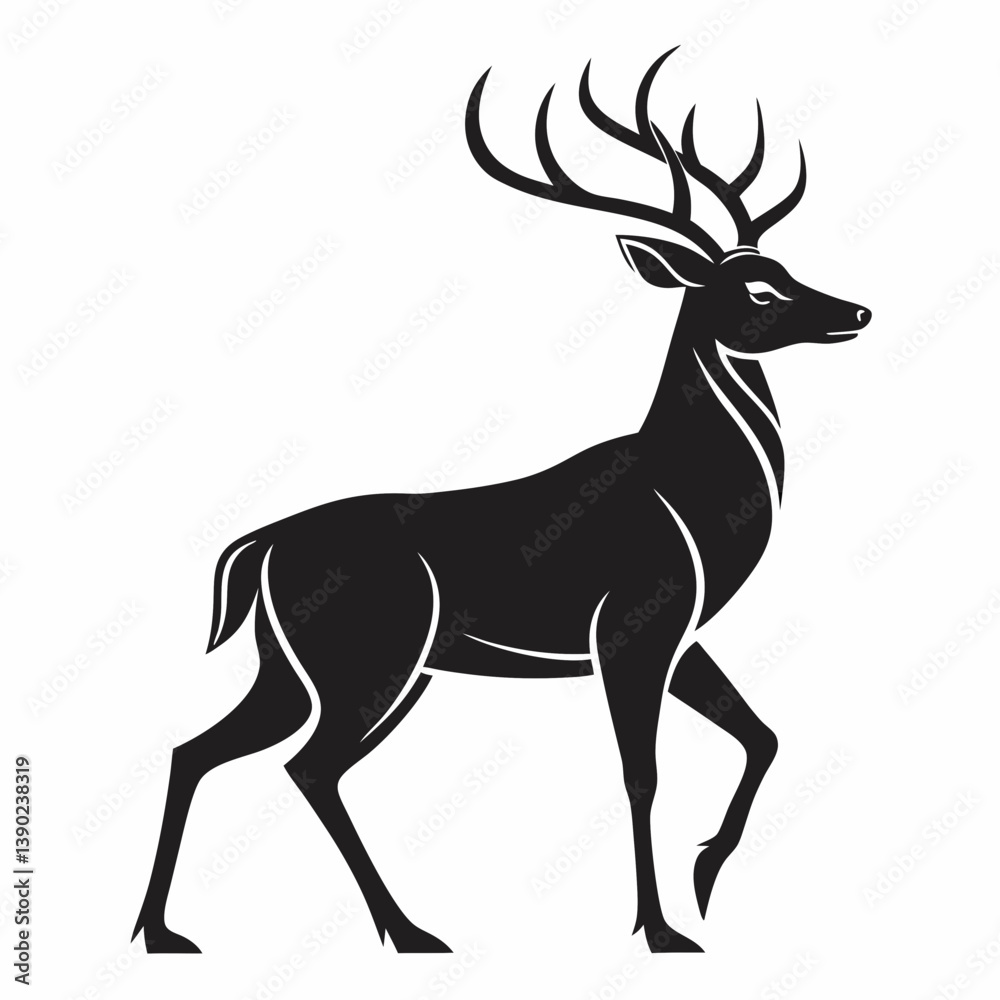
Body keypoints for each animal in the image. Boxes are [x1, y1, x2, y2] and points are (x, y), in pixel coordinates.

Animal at [132, 48, 870, 957]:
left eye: (786, 269)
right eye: (757, 292)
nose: (856, 310)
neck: (688, 495)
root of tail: (261, 545)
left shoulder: (682, 635)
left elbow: (762, 735)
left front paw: (705, 875)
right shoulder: (632, 625)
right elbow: (640, 771)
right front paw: (660, 928)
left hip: (304, 668)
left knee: (200, 750)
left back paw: (165, 931)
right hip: (371, 659)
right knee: (305, 764)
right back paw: (408, 930)